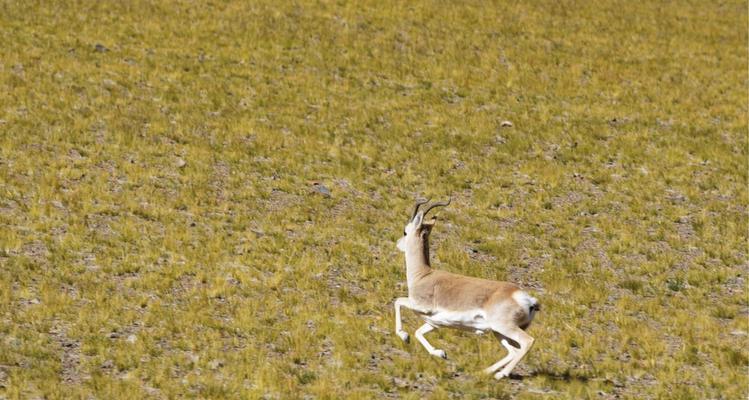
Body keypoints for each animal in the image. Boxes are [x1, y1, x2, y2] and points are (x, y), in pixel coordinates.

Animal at [392, 198, 536, 380]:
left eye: (405, 231)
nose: (398, 244)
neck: (423, 275)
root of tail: (526, 299)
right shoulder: (435, 322)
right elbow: (419, 333)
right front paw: (441, 353)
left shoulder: (420, 306)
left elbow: (398, 302)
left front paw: (404, 336)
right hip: (498, 331)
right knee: (513, 351)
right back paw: (486, 372)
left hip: (505, 328)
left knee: (527, 342)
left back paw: (500, 374)